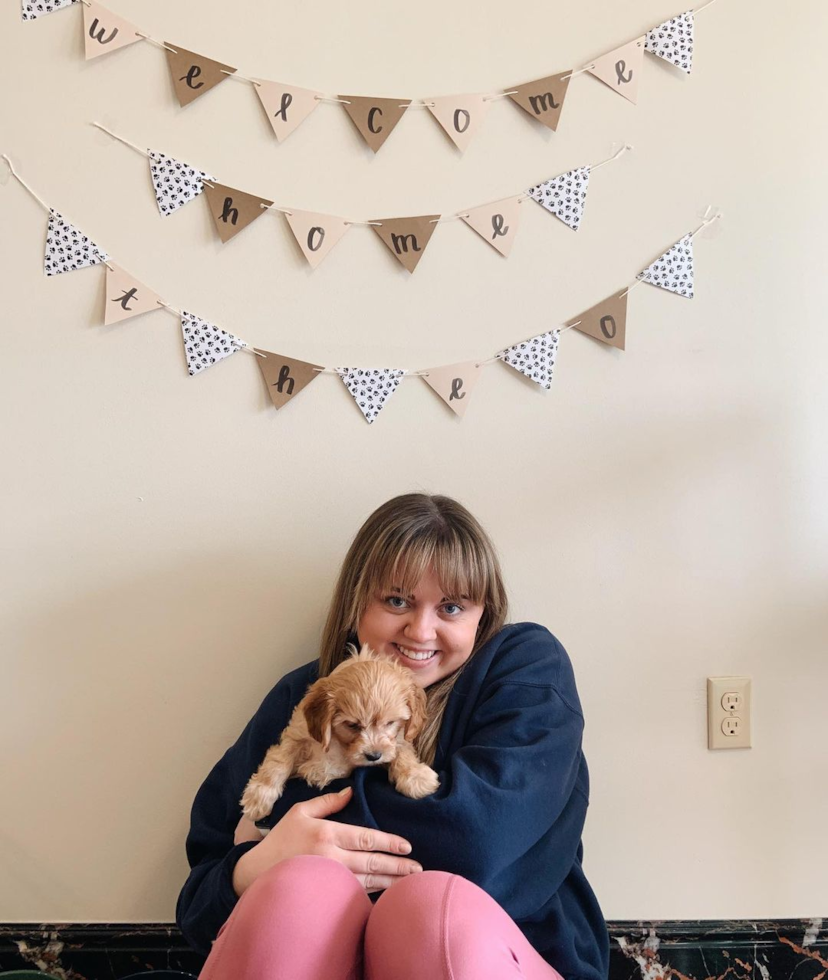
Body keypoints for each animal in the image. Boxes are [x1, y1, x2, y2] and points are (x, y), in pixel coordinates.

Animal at [239, 644, 440, 820]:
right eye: (352, 725)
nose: (374, 756)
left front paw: (416, 776)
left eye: (390, 722)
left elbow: (401, 750)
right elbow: (279, 760)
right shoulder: (297, 734)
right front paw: (258, 797)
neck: (338, 742)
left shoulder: (396, 740)